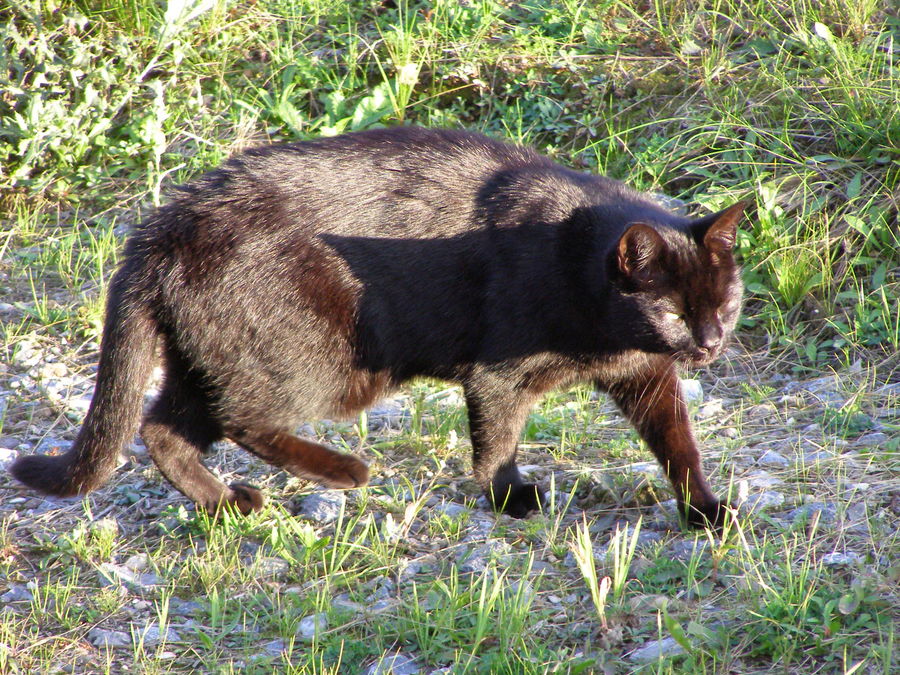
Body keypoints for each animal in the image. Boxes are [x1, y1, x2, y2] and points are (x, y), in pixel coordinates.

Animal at [8, 127, 744, 528]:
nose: (709, 343)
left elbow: (679, 444)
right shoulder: (498, 372)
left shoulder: (648, 375)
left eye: (727, 304)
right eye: (673, 310)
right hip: (325, 361)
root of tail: (160, 227)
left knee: (164, 429)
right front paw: (509, 497)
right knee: (243, 418)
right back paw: (344, 470)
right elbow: (497, 439)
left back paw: (228, 503)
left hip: (207, 354)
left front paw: (706, 510)